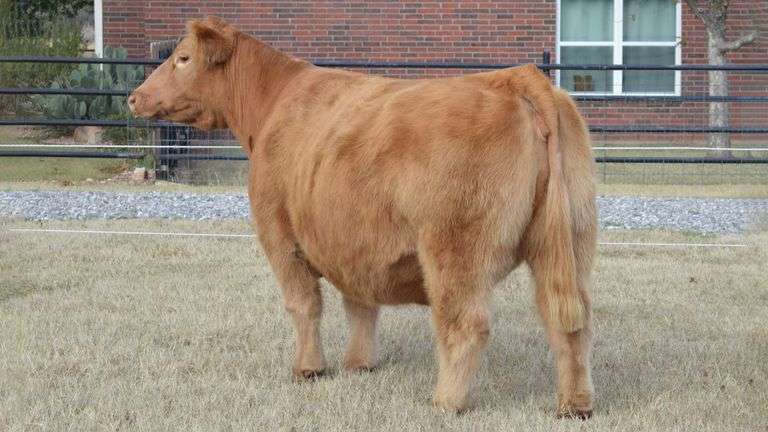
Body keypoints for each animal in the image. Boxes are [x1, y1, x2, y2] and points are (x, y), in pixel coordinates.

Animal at [129, 16, 597, 418]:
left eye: (183, 57)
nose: (134, 96)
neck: (273, 104)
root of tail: (515, 77)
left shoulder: (279, 236)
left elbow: (304, 305)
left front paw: (309, 369)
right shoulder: (352, 242)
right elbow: (360, 304)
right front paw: (359, 364)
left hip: (455, 251)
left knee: (466, 324)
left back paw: (446, 402)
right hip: (569, 243)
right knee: (568, 322)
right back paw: (574, 406)